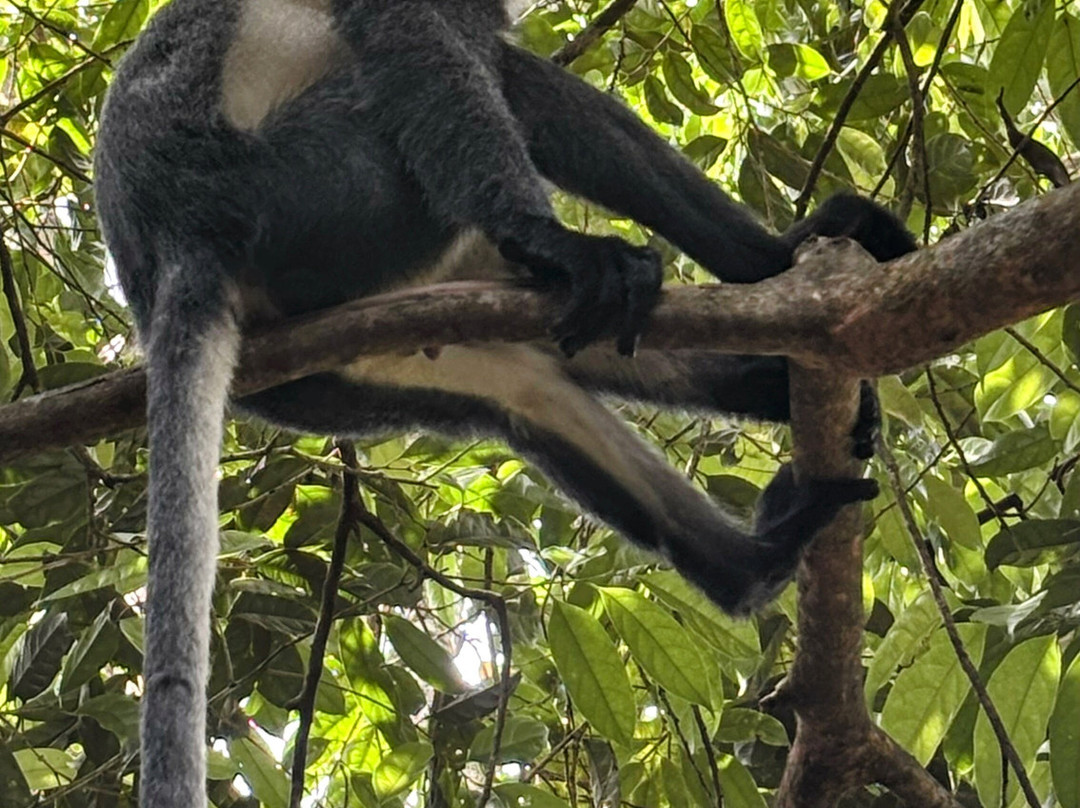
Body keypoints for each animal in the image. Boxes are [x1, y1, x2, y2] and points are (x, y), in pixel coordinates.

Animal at [92, 1, 916, 805]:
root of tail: (177, 244)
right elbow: (417, 36)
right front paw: (557, 242)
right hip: (312, 196)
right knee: (499, 77)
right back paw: (761, 260)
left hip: (342, 358)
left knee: (529, 385)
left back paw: (755, 533)